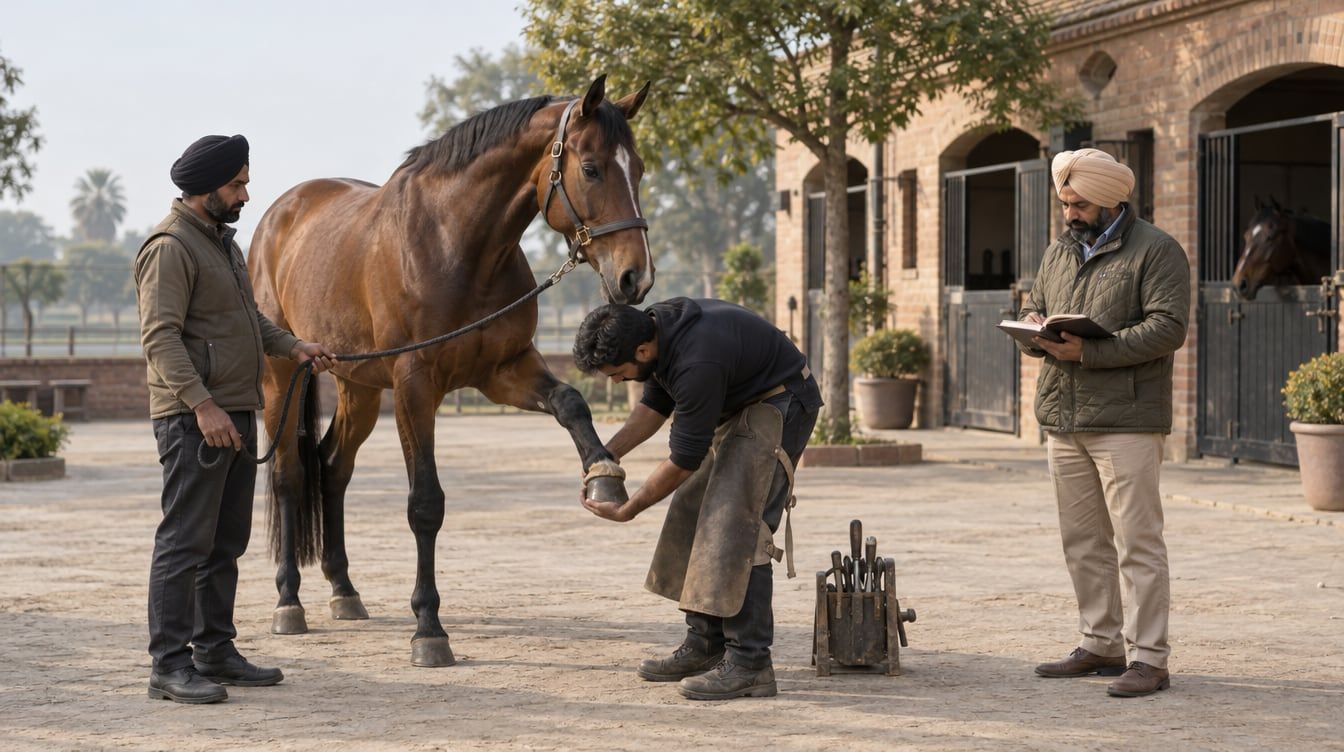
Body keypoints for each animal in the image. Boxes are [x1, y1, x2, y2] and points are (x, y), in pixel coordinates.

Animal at [247, 76, 653, 666]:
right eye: (592, 167)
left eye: (638, 168)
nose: (635, 278)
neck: (456, 244)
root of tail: (279, 215)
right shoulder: (415, 385)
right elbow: (426, 504)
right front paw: (428, 629)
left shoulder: (504, 369)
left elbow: (571, 402)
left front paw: (603, 476)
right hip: (282, 375)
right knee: (289, 475)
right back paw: (288, 603)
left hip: (356, 385)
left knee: (333, 467)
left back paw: (344, 591)